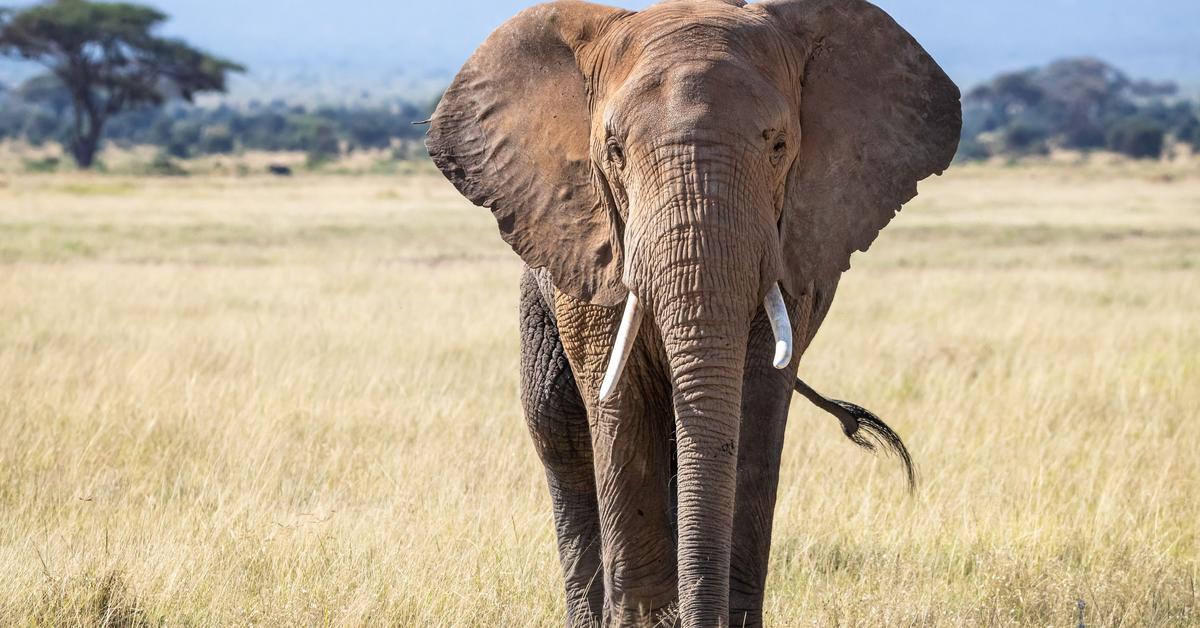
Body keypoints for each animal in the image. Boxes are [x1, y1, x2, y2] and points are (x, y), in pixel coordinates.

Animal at [427, 0, 960, 624]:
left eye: (779, 146)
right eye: (613, 152)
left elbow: (756, 405)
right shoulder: (594, 243)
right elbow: (621, 401)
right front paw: (646, 618)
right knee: (557, 426)